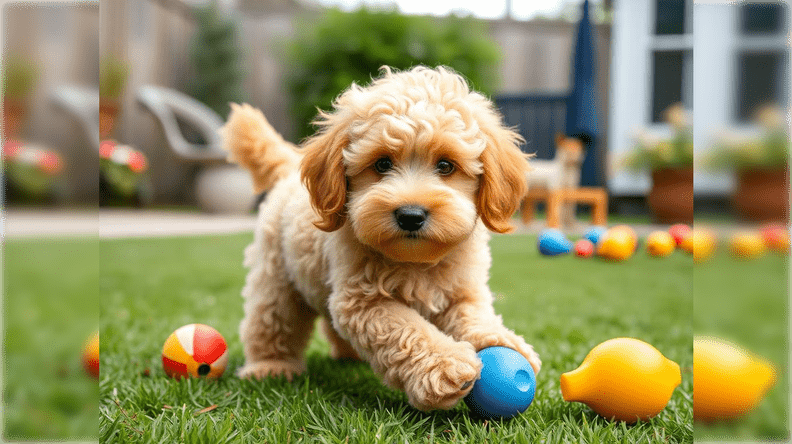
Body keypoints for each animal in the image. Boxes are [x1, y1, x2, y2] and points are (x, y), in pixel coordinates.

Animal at [224, 67, 544, 412]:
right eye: (382, 164)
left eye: (446, 165)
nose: (411, 215)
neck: (415, 261)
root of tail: (289, 170)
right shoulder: (363, 303)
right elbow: (406, 329)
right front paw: (444, 366)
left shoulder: (462, 291)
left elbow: (474, 316)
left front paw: (504, 340)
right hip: (276, 278)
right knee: (272, 321)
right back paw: (270, 366)